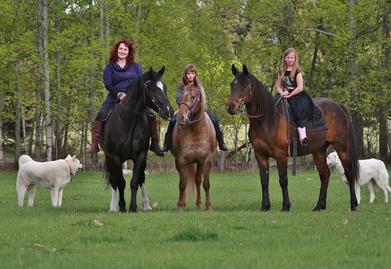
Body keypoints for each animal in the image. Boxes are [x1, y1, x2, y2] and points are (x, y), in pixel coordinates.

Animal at [101, 66, 173, 211]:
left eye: (164, 87)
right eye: (151, 88)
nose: (169, 112)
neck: (127, 121)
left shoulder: (140, 155)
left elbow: (134, 181)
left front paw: (133, 207)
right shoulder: (115, 157)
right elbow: (120, 182)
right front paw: (122, 206)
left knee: (141, 178)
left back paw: (146, 205)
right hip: (109, 158)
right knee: (113, 180)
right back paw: (113, 207)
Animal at [171, 82, 217, 210]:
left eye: (193, 97)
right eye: (181, 97)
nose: (181, 117)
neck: (196, 130)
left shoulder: (206, 160)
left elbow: (206, 184)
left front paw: (208, 206)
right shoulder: (181, 160)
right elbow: (182, 184)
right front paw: (180, 206)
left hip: (199, 163)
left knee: (197, 180)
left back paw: (199, 204)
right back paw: (183, 203)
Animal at [228, 63, 360, 210]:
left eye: (245, 86)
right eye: (232, 84)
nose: (231, 107)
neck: (267, 119)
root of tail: (338, 106)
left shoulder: (281, 155)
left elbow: (283, 180)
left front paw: (286, 206)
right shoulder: (260, 155)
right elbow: (264, 181)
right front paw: (265, 206)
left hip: (342, 147)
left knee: (349, 173)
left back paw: (353, 204)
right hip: (318, 151)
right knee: (325, 174)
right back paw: (319, 206)